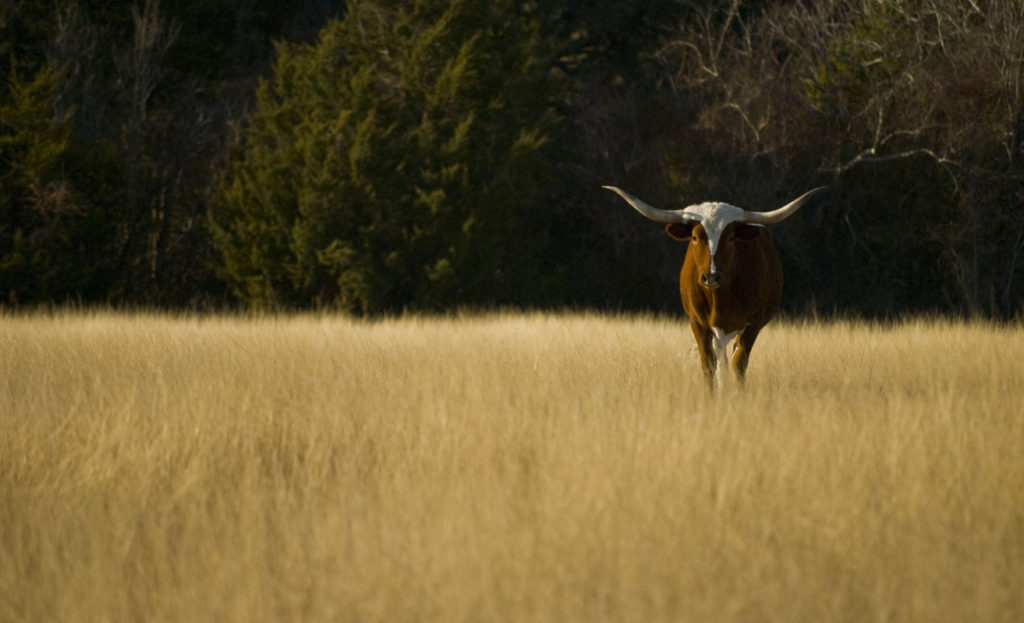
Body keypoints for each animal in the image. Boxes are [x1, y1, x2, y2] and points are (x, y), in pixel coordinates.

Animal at [602, 184, 827, 389]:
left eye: (731, 238)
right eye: (695, 237)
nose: (711, 276)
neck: (720, 299)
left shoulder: (753, 324)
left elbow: (739, 363)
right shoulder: (697, 322)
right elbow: (708, 364)